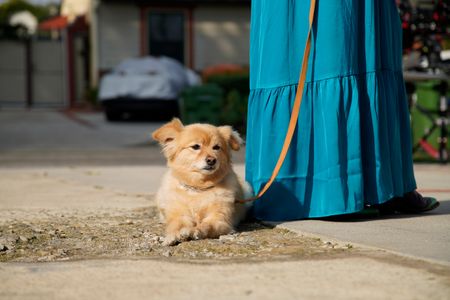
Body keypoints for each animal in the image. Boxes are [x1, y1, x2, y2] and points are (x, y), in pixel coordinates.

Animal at [153, 118, 253, 246]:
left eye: (216, 147)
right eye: (196, 146)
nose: (212, 160)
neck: (198, 187)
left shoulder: (220, 219)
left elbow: (206, 225)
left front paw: (194, 231)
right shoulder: (180, 215)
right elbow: (175, 225)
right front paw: (172, 236)